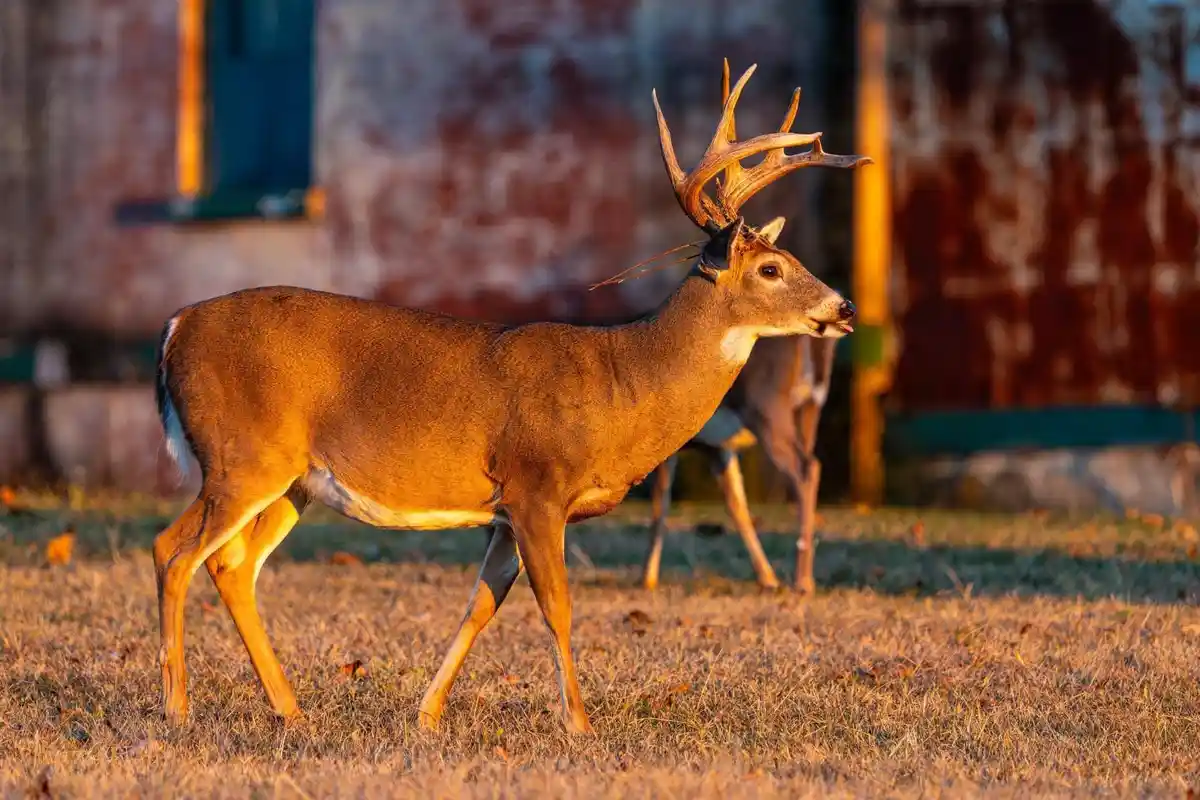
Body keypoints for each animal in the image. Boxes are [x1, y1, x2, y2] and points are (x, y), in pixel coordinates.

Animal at [640, 334, 836, 594]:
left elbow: (659, 503)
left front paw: (647, 579)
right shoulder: (716, 446)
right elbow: (735, 504)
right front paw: (768, 578)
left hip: (767, 406)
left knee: (805, 469)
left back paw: (803, 581)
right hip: (810, 407)